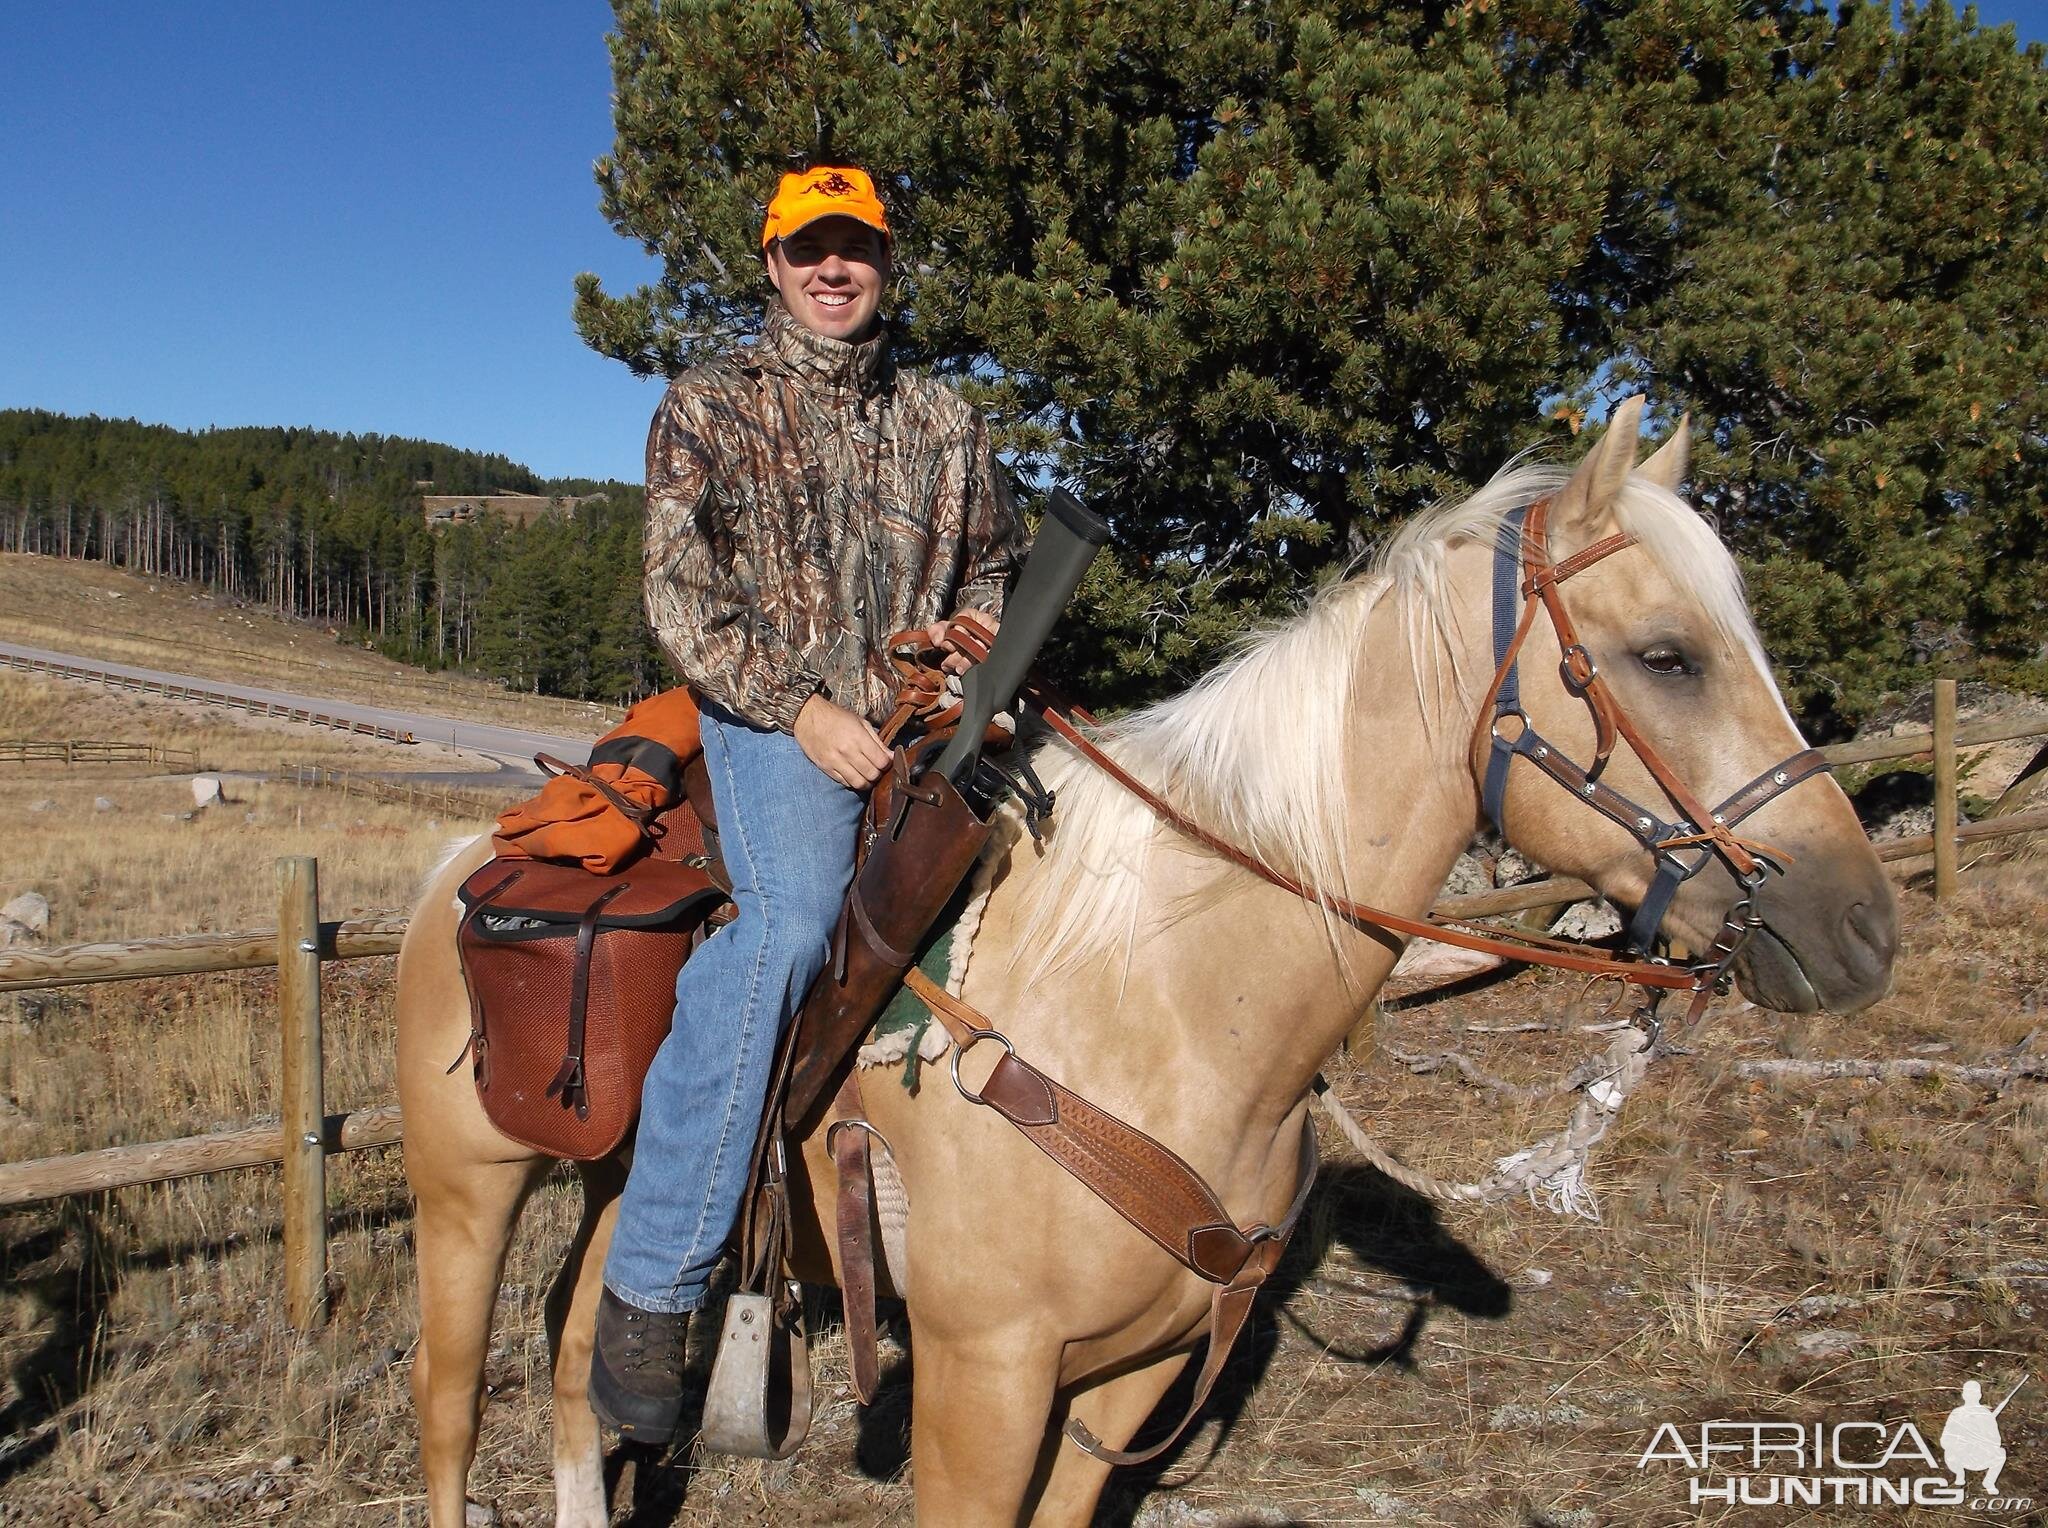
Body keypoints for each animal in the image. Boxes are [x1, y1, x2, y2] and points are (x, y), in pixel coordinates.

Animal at [391, 399, 1892, 1515]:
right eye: (1667, 656)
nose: (1861, 930)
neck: (1160, 1005)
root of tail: (457, 864)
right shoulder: (982, 1384)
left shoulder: (1130, 1374)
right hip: (470, 1193)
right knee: (452, 1404)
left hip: (614, 1190)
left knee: (583, 1366)